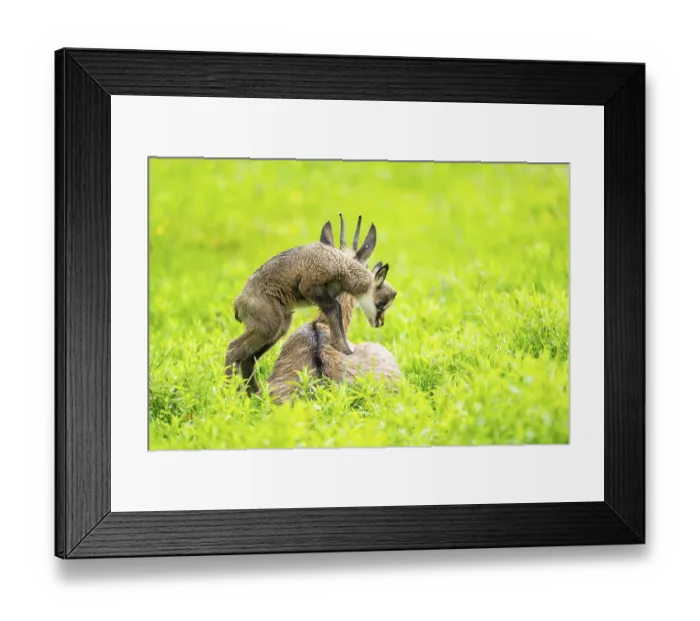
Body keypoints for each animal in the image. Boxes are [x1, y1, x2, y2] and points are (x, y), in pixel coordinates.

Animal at [225, 214, 396, 394]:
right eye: (382, 302)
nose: (380, 322)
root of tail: (238, 303)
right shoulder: (312, 286)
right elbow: (335, 307)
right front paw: (345, 348)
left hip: (278, 327)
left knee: (247, 359)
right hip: (269, 326)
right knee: (233, 349)